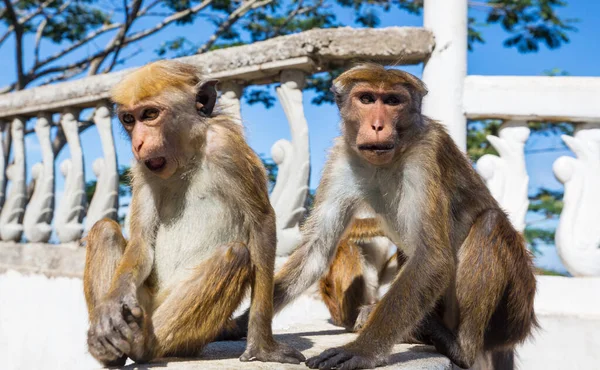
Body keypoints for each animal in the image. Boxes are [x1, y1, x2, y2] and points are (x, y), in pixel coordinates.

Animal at [82, 60, 304, 368]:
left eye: (149, 115)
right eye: (129, 119)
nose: (138, 143)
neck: (187, 156)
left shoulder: (227, 148)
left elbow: (262, 225)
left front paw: (261, 346)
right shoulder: (142, 169)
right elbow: (141, 240)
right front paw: (111, 308)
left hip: (181, 330)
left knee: (234, 254)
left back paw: (143, 346)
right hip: (145, 302)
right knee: (103, 229)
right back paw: (109, 350)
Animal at [221, 64, 540, 370]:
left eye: (392, 101)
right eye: (366, 99)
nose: (377, 125)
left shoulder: (426, 154)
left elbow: (433, 257)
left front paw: (362, 350)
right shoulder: (341, 158)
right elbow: (316, 250)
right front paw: (242, 325)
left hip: (515, 315)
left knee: (490, 225)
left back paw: (461, 347)